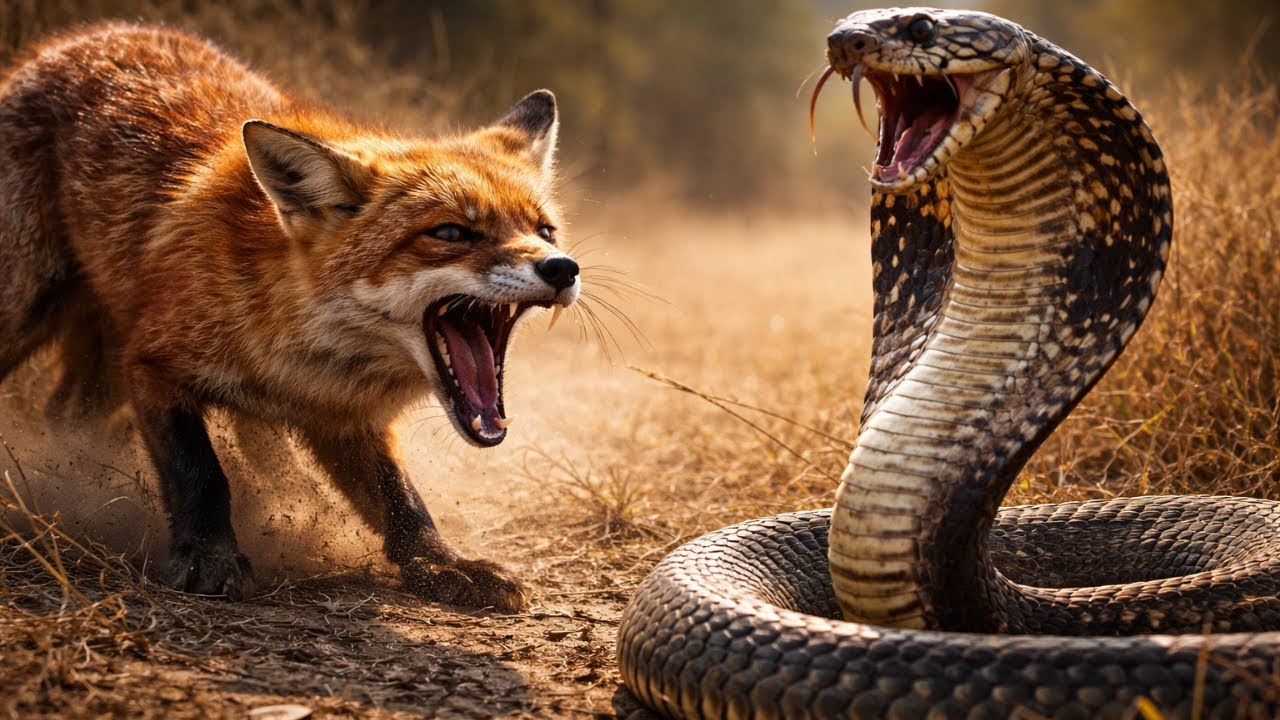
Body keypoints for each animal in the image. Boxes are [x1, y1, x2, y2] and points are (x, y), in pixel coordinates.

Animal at [0, 23, 581, 612]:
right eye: (451, 233)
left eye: (545, 231)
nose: (562, 268)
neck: (302, 352)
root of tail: (88, 34)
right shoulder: (152, 363)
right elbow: (200, 474)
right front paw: (209, 556)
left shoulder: (343, 415)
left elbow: (399, 498)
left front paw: (442, 563)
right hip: (26, 310)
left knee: (64, 414)